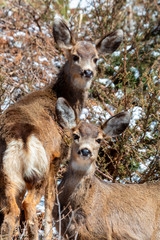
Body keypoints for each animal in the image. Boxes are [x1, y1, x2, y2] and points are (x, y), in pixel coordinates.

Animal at [0, 16, 124, 240]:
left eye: (96, 58)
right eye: (75, 56)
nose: (88, 72)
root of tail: (22, 138)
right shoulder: (56, 157)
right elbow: (51, 202)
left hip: (8, 173)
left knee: (11, 210)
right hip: (38, 169)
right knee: (29, 205)